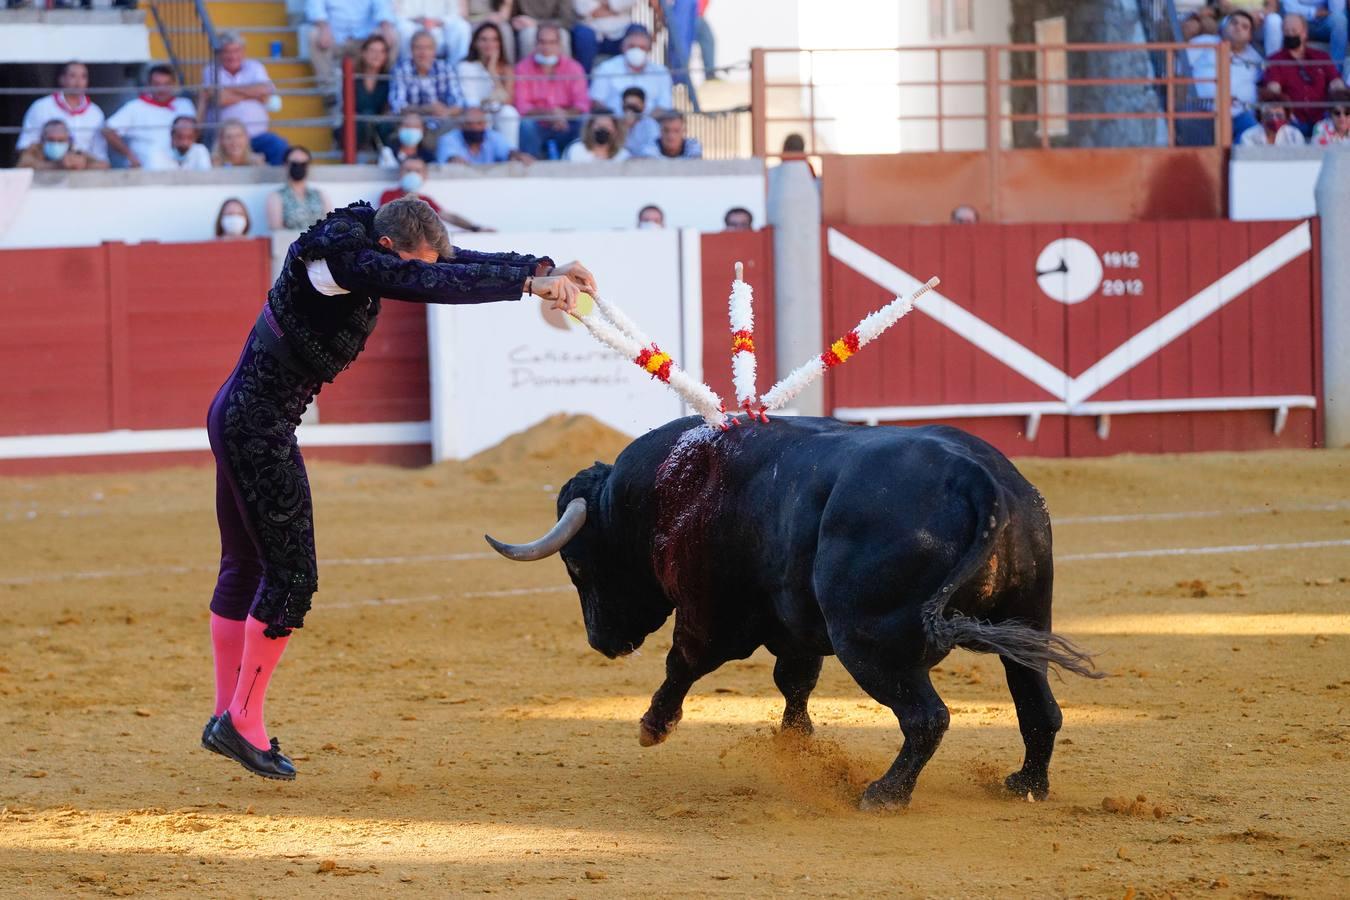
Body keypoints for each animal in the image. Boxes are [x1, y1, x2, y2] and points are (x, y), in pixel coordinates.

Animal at [483, 418, 1096, 809]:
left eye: (576, 563)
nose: (601, 642)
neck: (661, 492)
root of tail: (979, 479)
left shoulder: (711, 616)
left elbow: (683, 664)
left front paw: (652, 726)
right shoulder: (796, 628)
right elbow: (794, 681)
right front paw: (794, 745)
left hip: (868, 641)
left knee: (927, 717)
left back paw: (884, 794)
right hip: (1029, 621)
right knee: (1039, 709)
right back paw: (1025, 785)